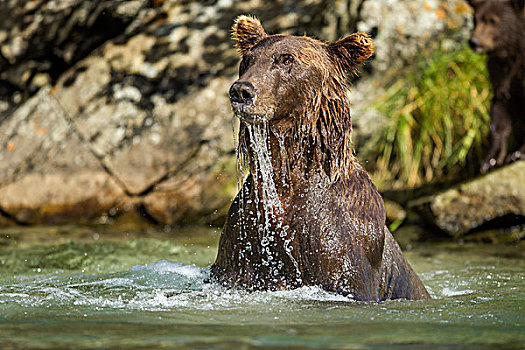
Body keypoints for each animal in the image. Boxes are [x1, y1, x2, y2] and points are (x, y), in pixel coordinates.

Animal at [210, 15, 430, 300]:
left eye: (287, 59)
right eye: (248, 59)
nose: (242, 91)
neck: (286, 181)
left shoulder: (339, 245)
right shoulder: (244, 239)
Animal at [466, 0, 524, 173]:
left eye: (492, 20)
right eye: (475, 19)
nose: (474, 41)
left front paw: (519, 153)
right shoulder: (501, 75)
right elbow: (500, 111)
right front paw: (491, 159)